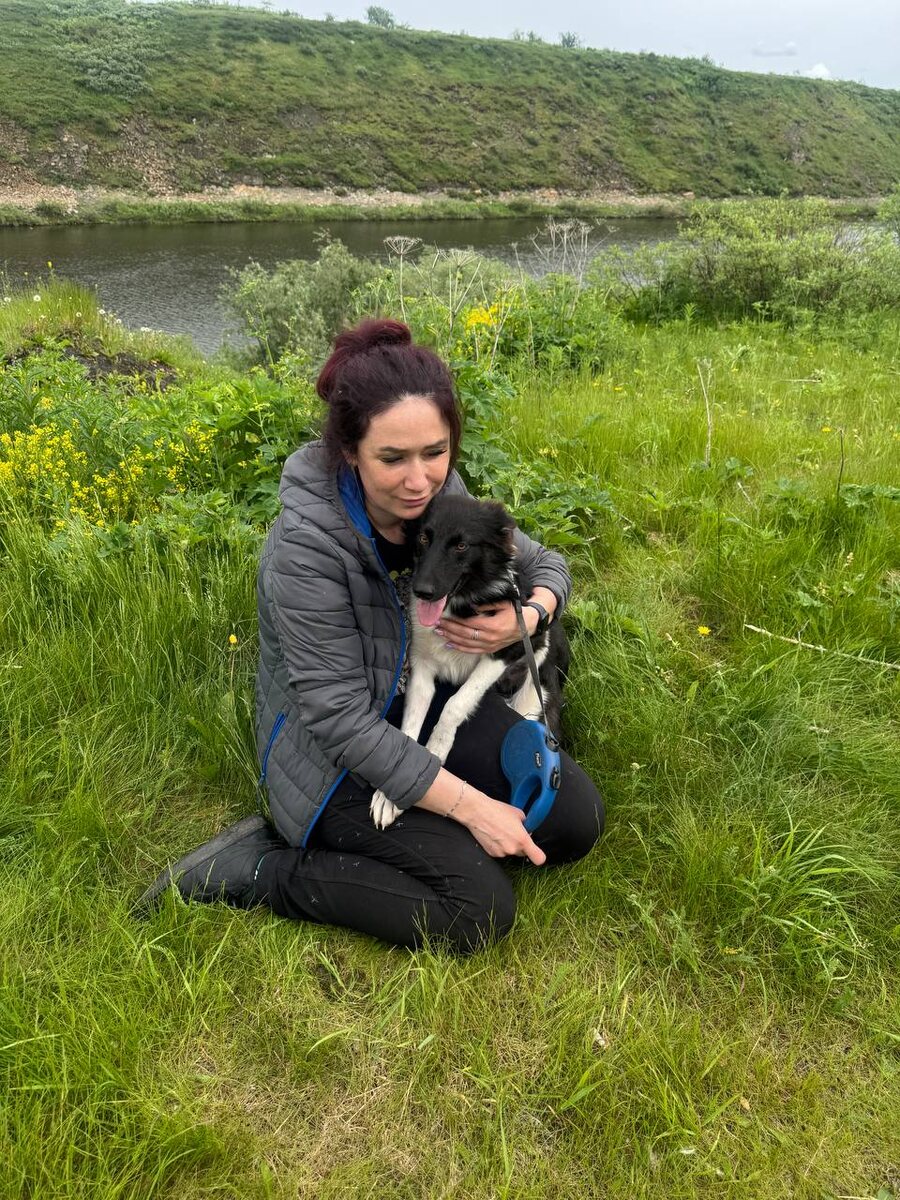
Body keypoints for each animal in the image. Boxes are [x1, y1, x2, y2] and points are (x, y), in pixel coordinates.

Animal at [370, 493, 569, 829]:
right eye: (424, 537)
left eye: (462, 545)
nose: (422, 591)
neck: (461, 603)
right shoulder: (421, 664)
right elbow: (409, 727)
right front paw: (390, 795)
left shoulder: (504, 651)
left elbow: (455, 704)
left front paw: (436, 748)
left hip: (533, 701)